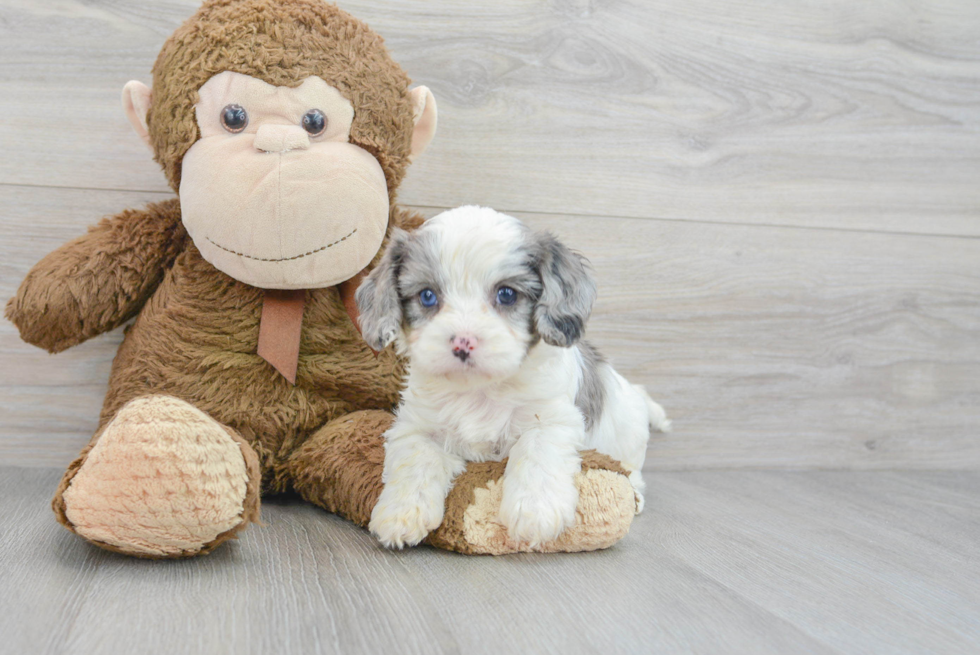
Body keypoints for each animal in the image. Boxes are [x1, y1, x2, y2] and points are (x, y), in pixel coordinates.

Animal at [356, 205, 668, 548]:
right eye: (427, 296)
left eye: (506, 294)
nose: (463, 343)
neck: (481, 390)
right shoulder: (418, 425)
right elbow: (416, 459)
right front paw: (401, 512)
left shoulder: (551, 418)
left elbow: (536, 452)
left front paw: (535, 511)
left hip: (628, 441)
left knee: (632, 470)